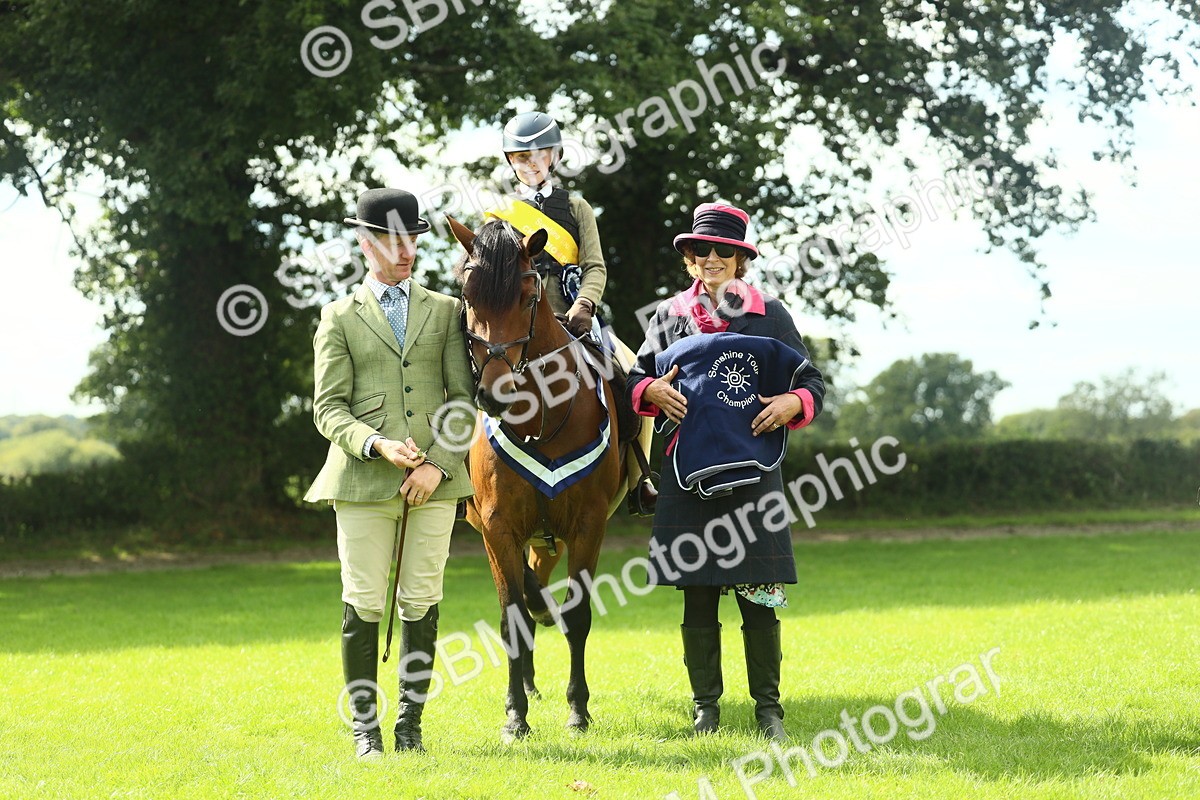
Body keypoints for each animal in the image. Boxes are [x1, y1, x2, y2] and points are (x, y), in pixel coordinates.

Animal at [448, 216, 627, 741]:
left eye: (528, 297)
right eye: (467, 296)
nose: (494, 395)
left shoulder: (588, 526)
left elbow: (578, 614)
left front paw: (578, 710)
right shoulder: (497, 527)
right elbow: (512, 619)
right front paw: (514, 716)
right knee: (528, 597)